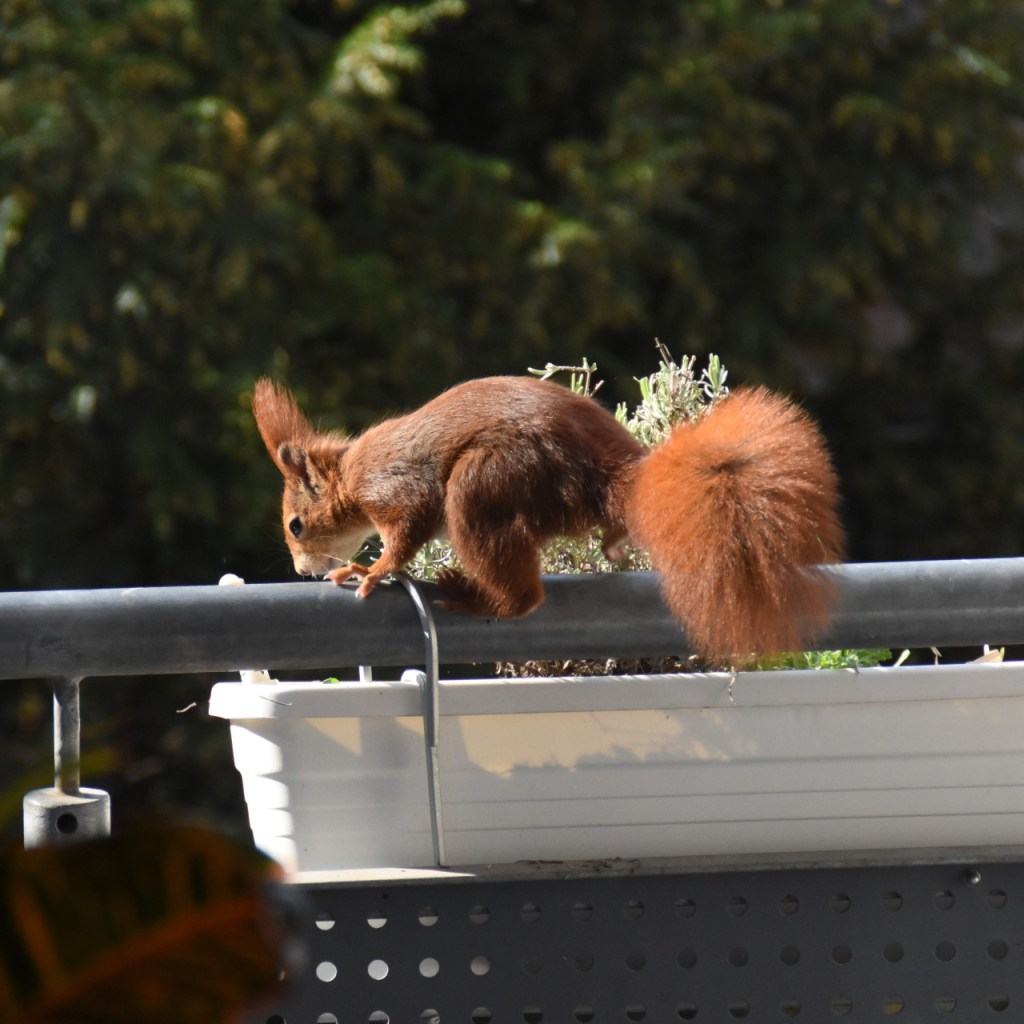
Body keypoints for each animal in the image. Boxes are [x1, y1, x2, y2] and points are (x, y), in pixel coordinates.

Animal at [252, 376, 844, 660]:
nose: (302, 571)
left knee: (522, 598)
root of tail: (598, 474)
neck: (351, 477)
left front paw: (370, 572)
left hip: (484, 484)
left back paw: (478, 598)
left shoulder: (396, 487)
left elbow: (404, 534)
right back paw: (613, 541)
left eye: (295, 526)